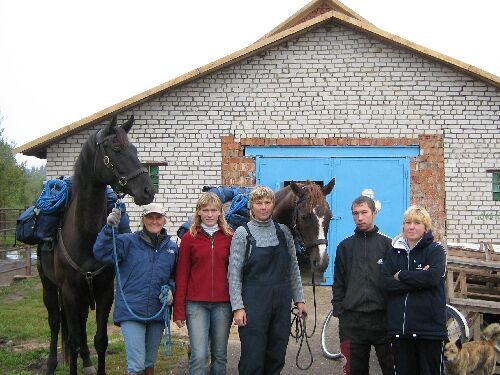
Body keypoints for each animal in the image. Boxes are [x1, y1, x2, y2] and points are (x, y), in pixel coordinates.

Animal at [37, 115, 155, 375]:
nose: (148, 190)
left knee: (80, 325)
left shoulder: (104, 290)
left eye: (135, 149)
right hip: (49, 286)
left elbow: (100, 340)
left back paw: (88, 363)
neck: (86, 236)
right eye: (117, 149)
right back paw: (51, 364)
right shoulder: (69, 292)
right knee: (55, 323)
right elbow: (71, 341)